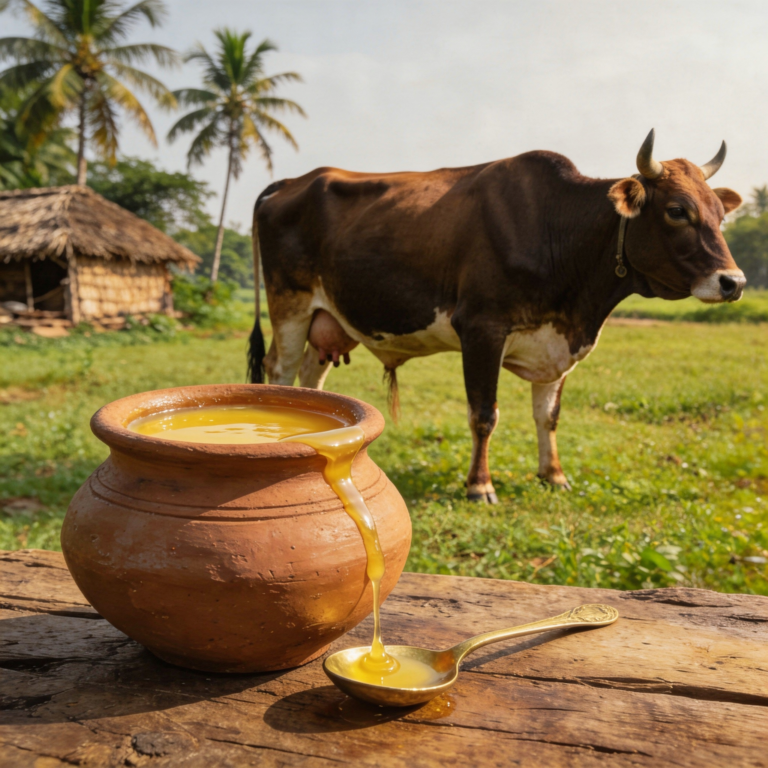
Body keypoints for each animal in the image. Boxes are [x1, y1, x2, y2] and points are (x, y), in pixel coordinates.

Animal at [247, 130, 745, 502]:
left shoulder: (557, 339)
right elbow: (484, 414)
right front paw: (479, 484)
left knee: (310, 380)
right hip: (289, 306)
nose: (733, 281)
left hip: (328, 319)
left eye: (720, 214)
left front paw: (553, 475)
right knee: (280, 371)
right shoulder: (481, 329)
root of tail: (291, 181)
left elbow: (548, 415)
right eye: (677, 210)